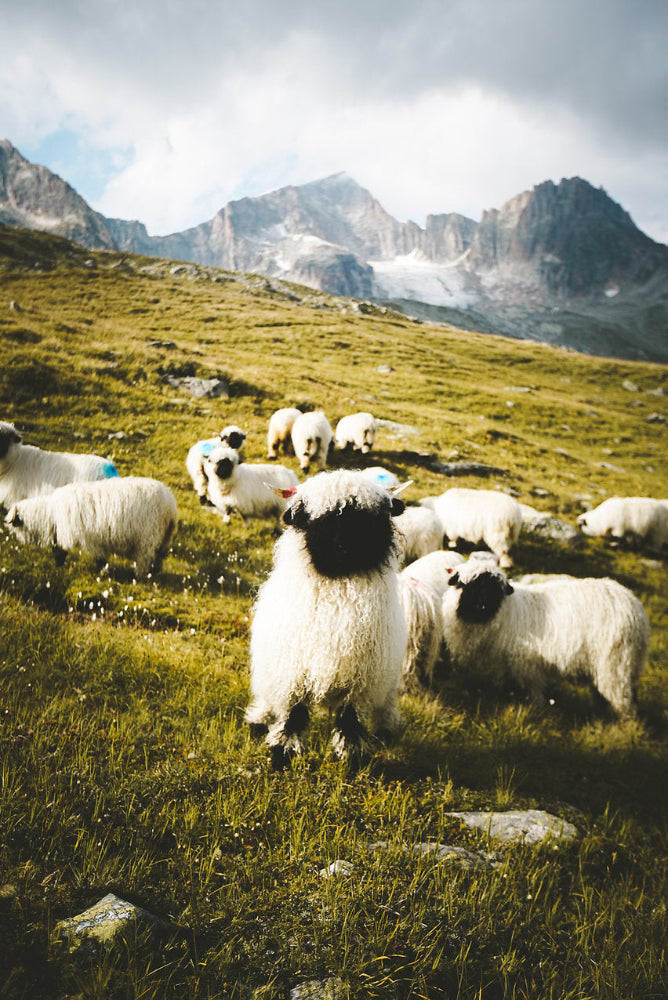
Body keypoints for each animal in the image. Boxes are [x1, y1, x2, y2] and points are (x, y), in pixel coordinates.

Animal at [4, 476, 177, 578]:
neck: (50, 513)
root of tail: (171, 506)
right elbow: (59, 550)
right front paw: (59, 565)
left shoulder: (88, 538)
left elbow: (98, 558)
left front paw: (102, 572)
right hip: (164, 537)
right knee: (159, 556)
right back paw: (154, 572)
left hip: (148, 536)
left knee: (145, 557)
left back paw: (139, 575)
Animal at [246, 469, 408, 768]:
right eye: (317, 519)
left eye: (368, 518)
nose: (345, 547)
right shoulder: (293, 671)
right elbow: (293, 713)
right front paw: (283, 751)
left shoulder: (361, 680)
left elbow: (350, 720)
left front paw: (352, 757)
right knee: (270, 698)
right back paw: (260, 717)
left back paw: (387, 726)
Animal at [441, 560, 649, 719]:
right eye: (467, 584)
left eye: (495, 588)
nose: (482, 603)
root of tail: (635, 608)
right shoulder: (505, 665)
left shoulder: (527, 664)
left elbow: (533, 691)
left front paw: (536, 709)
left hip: (615, 663)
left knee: (624, 700)